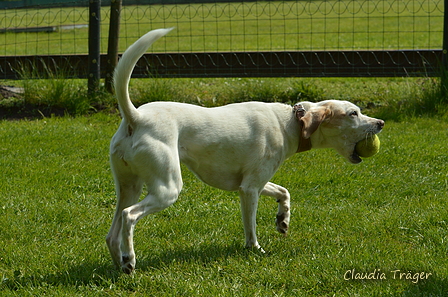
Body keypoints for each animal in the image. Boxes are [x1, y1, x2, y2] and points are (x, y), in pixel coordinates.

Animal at [106, 28, 384, 272]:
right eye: (353, 113)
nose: (380, 123)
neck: (290, 122)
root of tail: (136, 117)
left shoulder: (255, 181)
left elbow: (284, 192)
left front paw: (283, 220)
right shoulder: (249, 189)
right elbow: (251, 228)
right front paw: (256, 249)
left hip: (129, 188)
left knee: (112, 234)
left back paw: (119, 263)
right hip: (167, 189)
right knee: (129, 216)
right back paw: (129, 260)